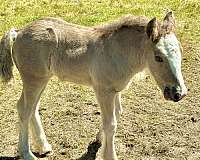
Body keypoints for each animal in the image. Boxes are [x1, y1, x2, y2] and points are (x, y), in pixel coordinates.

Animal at [0, 11, 187, 159]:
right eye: (158, 57)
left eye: (180, 51)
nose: (179, 93)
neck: (117, 51)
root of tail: (18, 32)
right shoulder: (103, 90)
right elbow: (110, 123)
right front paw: (109, 156)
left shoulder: (115, 90)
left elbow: (116, 114)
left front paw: (99, 140)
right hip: (33, 79)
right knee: (24, 109)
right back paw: (27, 153)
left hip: (42, 79)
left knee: (33, 108)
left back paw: (43, 146)